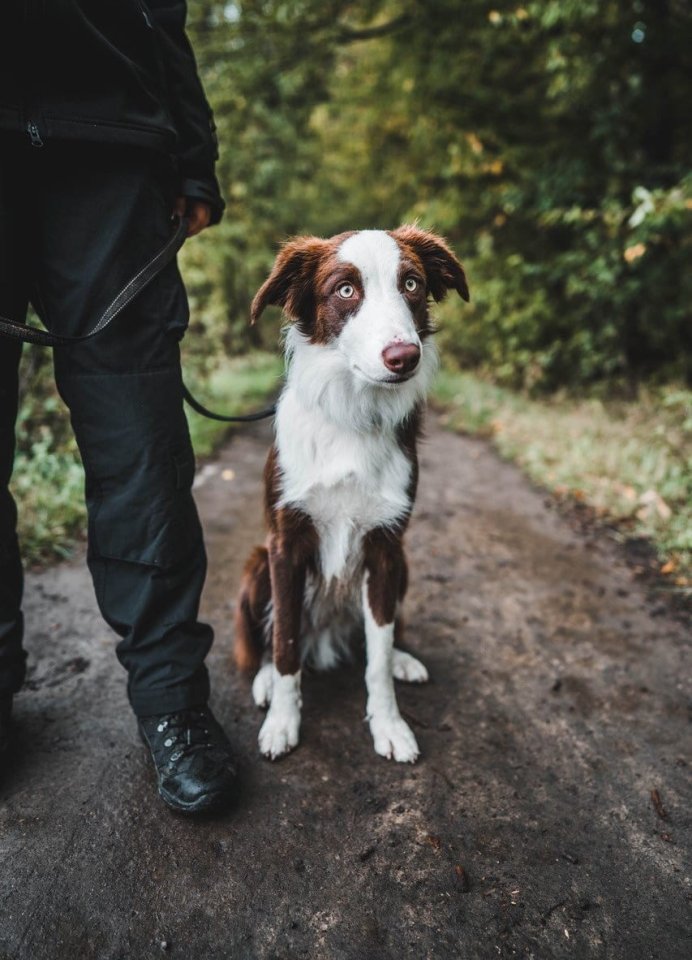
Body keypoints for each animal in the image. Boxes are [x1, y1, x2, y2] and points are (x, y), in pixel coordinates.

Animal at [235, 225, 468, 764]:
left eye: (411, 284)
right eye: (345, 290)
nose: (404, 357)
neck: (354, 415)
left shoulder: (385, 547)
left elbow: (377, 657)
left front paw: (390, 724)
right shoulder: (285, 544)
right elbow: (285, 645)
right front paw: (283, 720)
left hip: (403, 566)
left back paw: (404, 658)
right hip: (257, 566)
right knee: (274, 638)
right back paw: (264, 684)